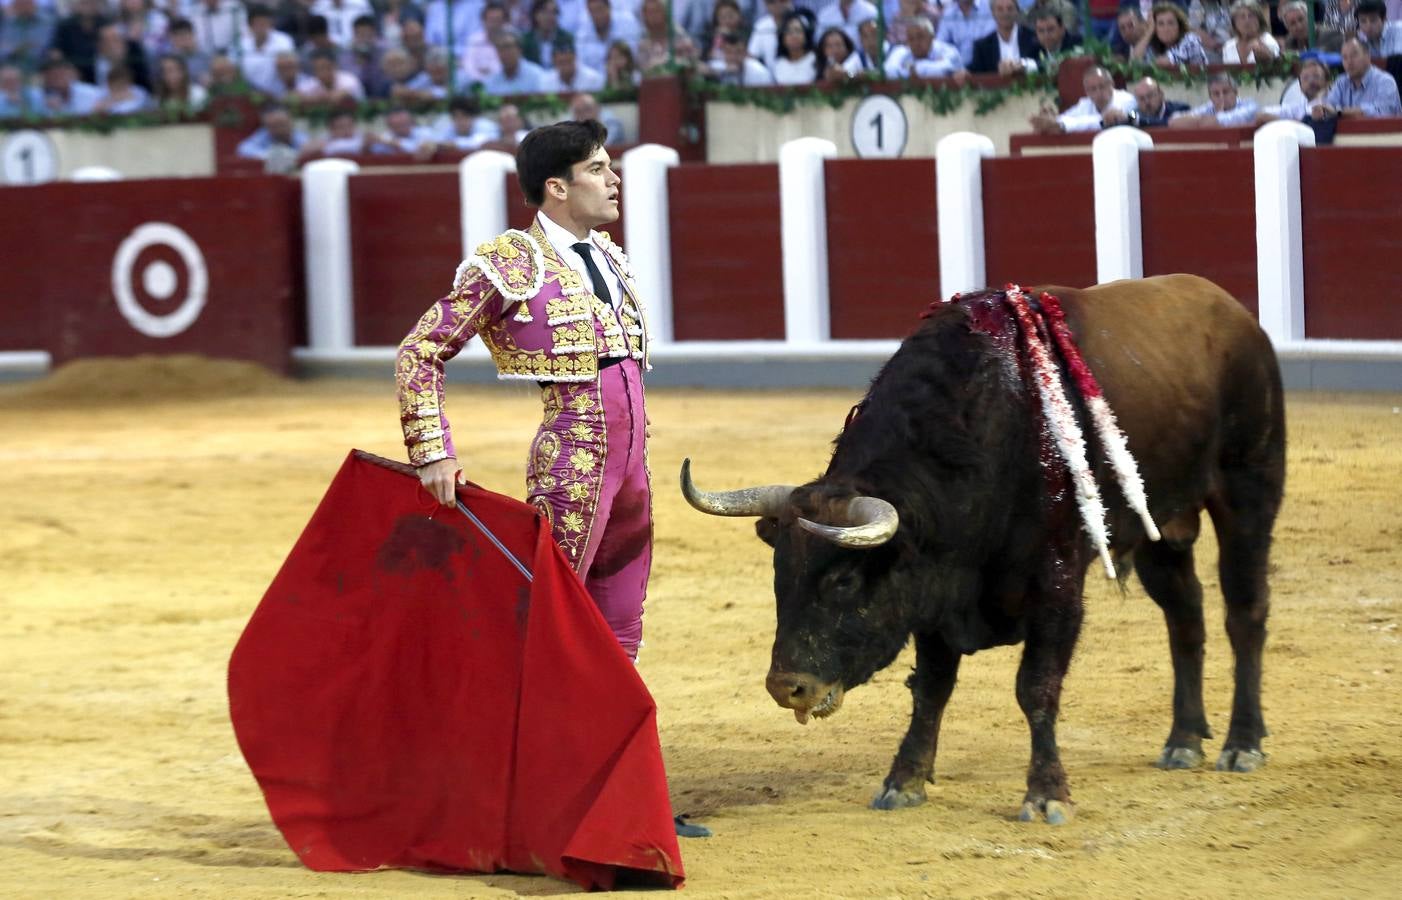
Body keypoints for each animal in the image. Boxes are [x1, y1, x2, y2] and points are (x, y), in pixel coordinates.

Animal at [678, 273, 1284, 818]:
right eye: (779, 575)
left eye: (844, 580)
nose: (787, 688)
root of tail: (1235, 313)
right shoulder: (933, 593)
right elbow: (931, 688)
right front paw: (903, 781)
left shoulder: (1057, 586)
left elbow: (1036, 687)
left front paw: (1046, 794)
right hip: (1162, 528)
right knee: (1185, 616)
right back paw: (1183, 740)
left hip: (1249, 490)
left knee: (1244, 613)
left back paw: (1242, 744)